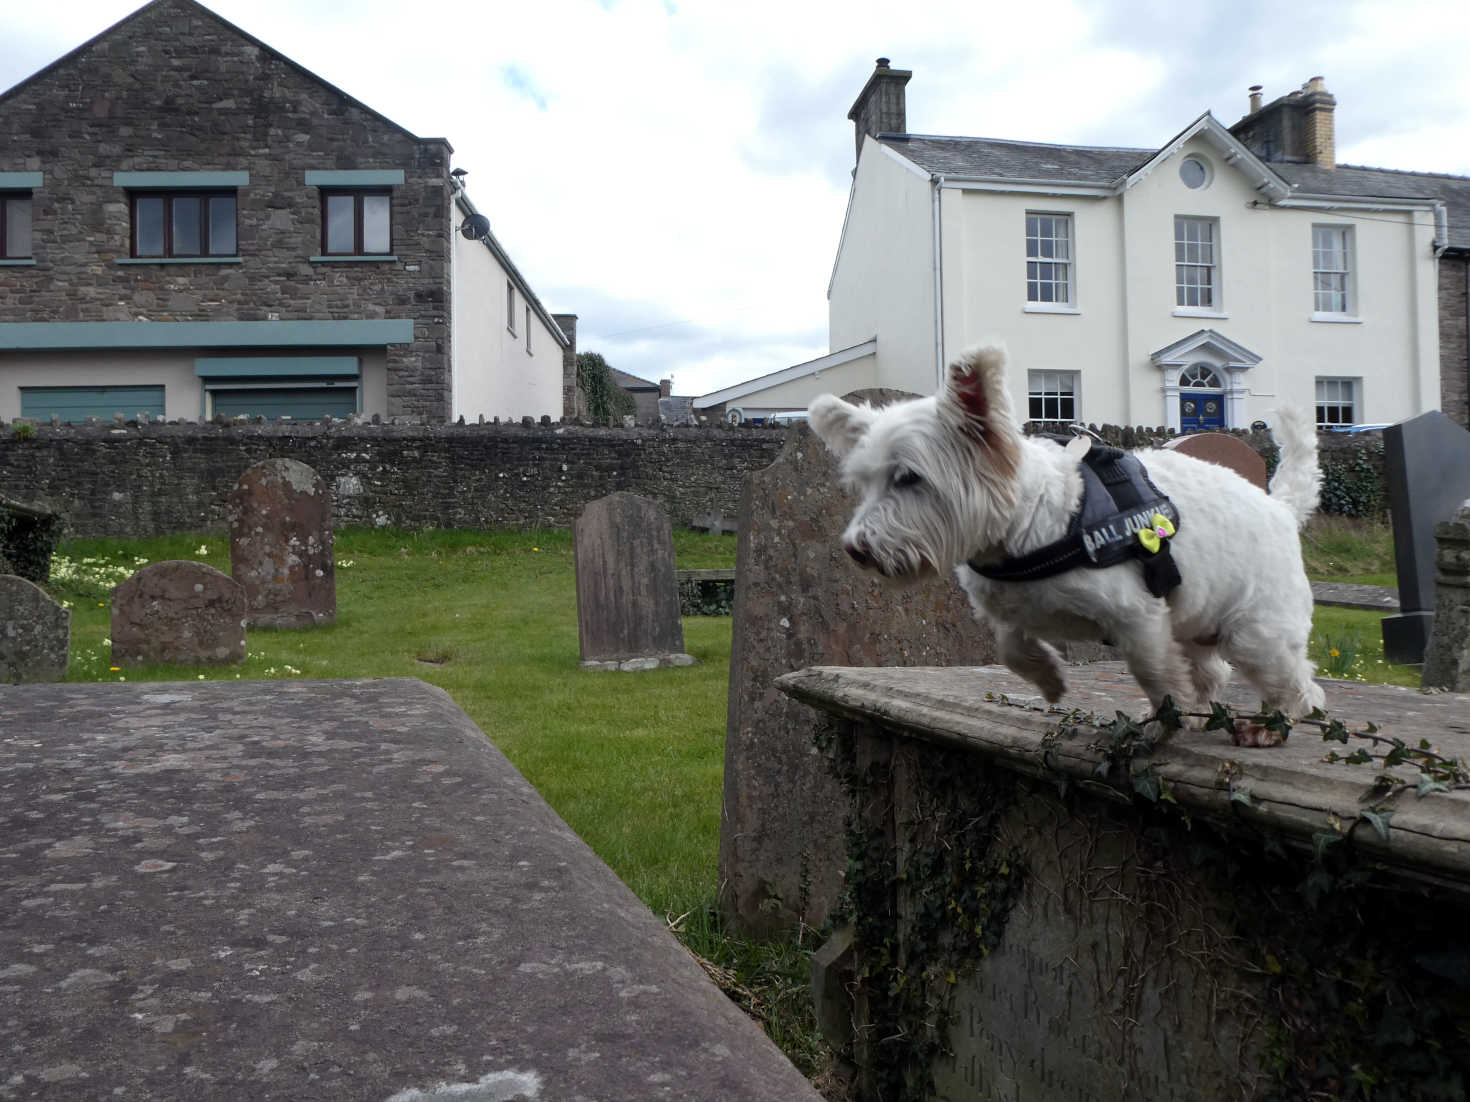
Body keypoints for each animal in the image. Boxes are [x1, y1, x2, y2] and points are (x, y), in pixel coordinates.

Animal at [811, 345, 1328, 743]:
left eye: (908, 477)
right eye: (863, 484)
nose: (856, 548)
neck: (1029, 526)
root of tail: (1279, 507)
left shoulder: (1138, 616)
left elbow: (1155, 672)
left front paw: (1165, 717)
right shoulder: (1011, 608)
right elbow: (1010, 648)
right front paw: (1050, 678)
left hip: (1255, 631)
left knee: (1297, 685)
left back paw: (1269, 726)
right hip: (1197, 618)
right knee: (1213, 671)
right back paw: (1205, 713)